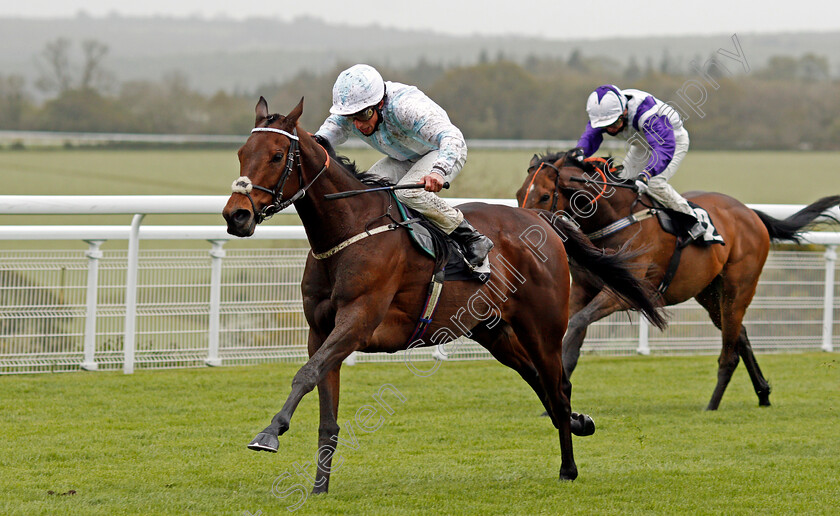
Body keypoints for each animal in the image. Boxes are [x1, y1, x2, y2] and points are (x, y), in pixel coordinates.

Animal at [223, 98, 668, 492]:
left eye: (277, 155)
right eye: (242, 153)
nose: (235, 215)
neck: (349, 231)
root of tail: (541, 216)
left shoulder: (357, 322)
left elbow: (305, 374)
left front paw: (269, 433)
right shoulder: (321, 331)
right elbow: (324, 408)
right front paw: (318, 488)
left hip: (542, 327)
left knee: (557, 388)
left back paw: (568, 468)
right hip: (495, 331)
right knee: (539, 382)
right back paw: (579, 422)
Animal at [516, 150, 836, 412]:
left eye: (544, 195)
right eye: (519, 194)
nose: (527, 229)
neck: (611, 221)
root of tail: (751, 213)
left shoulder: (624, 292)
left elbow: (578, 323)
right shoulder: (582, 289)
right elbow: (572, 333)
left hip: (737, 287)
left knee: (730, 348)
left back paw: (713, 404)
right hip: (708, 293)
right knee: (739, 334)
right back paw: (763, 393)